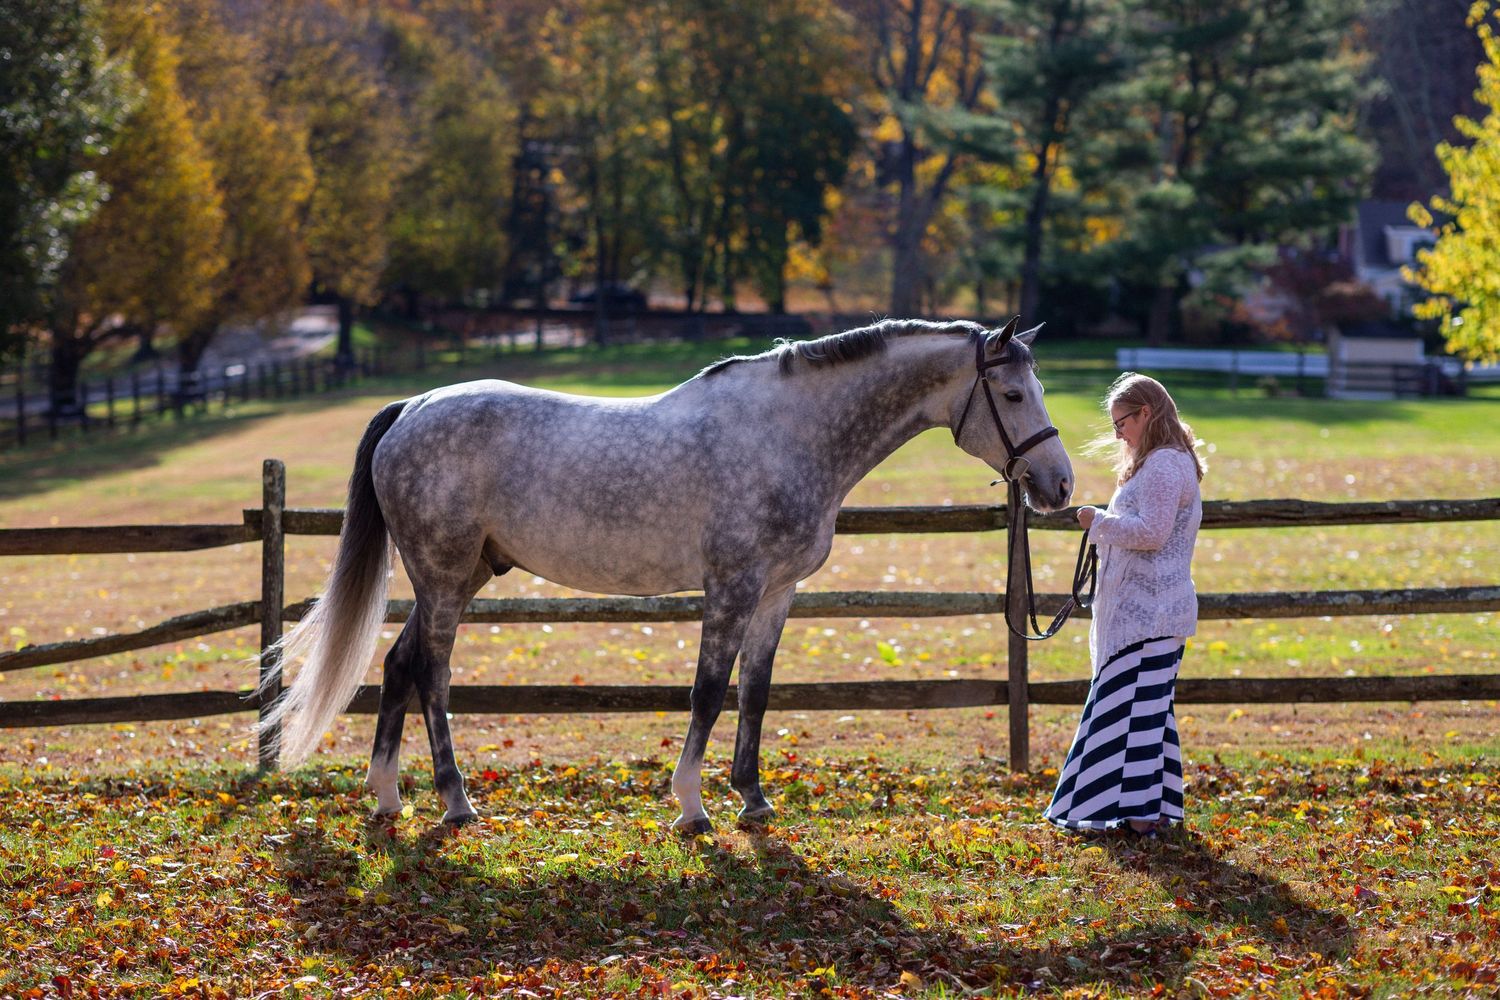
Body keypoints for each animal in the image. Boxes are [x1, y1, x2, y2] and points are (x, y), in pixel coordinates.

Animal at [258, 317, 1074, 832]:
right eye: (1010, 395)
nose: (1060, 486)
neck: (789, 435)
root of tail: (412, 407)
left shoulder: (777, 594)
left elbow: (754, 693)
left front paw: (753, 802)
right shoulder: (732, 587)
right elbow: (708, 692)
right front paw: (692, 806)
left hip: (456, 579)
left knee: (399, 666)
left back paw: (388, 798)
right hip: (443, 576)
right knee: (430, 673)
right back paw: (454, 803)